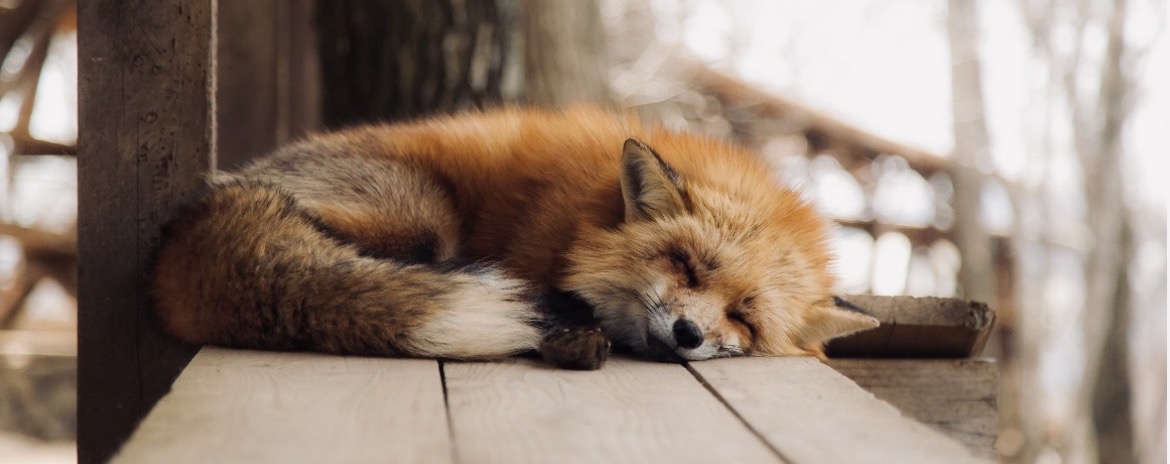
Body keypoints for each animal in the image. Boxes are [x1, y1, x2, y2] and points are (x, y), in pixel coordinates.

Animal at [150, 106, 879, 370]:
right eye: (686, 265)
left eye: (744, 316)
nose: (688, 334)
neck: (577, 216)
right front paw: (568, 330)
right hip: (422, 217)